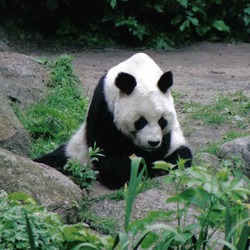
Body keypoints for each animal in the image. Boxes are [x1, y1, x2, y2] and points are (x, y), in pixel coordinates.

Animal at [34, 53, 191, 189]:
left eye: (162, 121)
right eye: (140, 122)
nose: (152, 142)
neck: (141, 72)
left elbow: (163, 150)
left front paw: (144, 167)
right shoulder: (104, 103)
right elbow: (102, 145)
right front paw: (122, 172)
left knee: (182, 156)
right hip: (75, 152)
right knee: (57, 159)